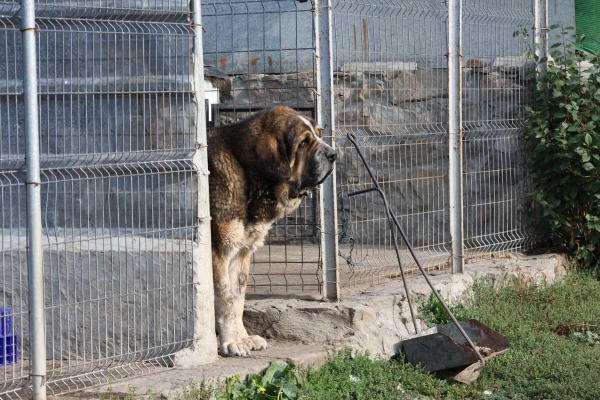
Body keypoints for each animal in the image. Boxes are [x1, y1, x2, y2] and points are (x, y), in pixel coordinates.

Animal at [209, 105, 336, 356]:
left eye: (319, 134)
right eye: (303, 143)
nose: (334, 154)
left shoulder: (240, 253)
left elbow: (237, 299)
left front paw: (242, 337)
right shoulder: (218, 251)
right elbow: (226, 298)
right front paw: (232, 341)